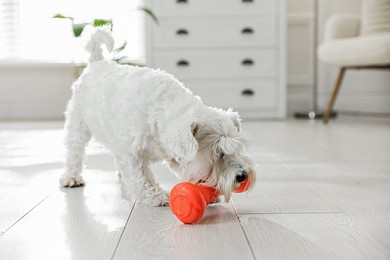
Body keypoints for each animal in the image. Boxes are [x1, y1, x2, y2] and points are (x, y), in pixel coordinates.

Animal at [61, 28, 256, 206]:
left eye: (237, 149)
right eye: (217, 153)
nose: (242, 175)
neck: (158, 115)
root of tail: (96, 61)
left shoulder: (172, 153)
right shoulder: (131, 151)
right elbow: (140, 175)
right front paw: (155, 196)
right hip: (78, 124)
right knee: (75, 151)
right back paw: (72, 177)